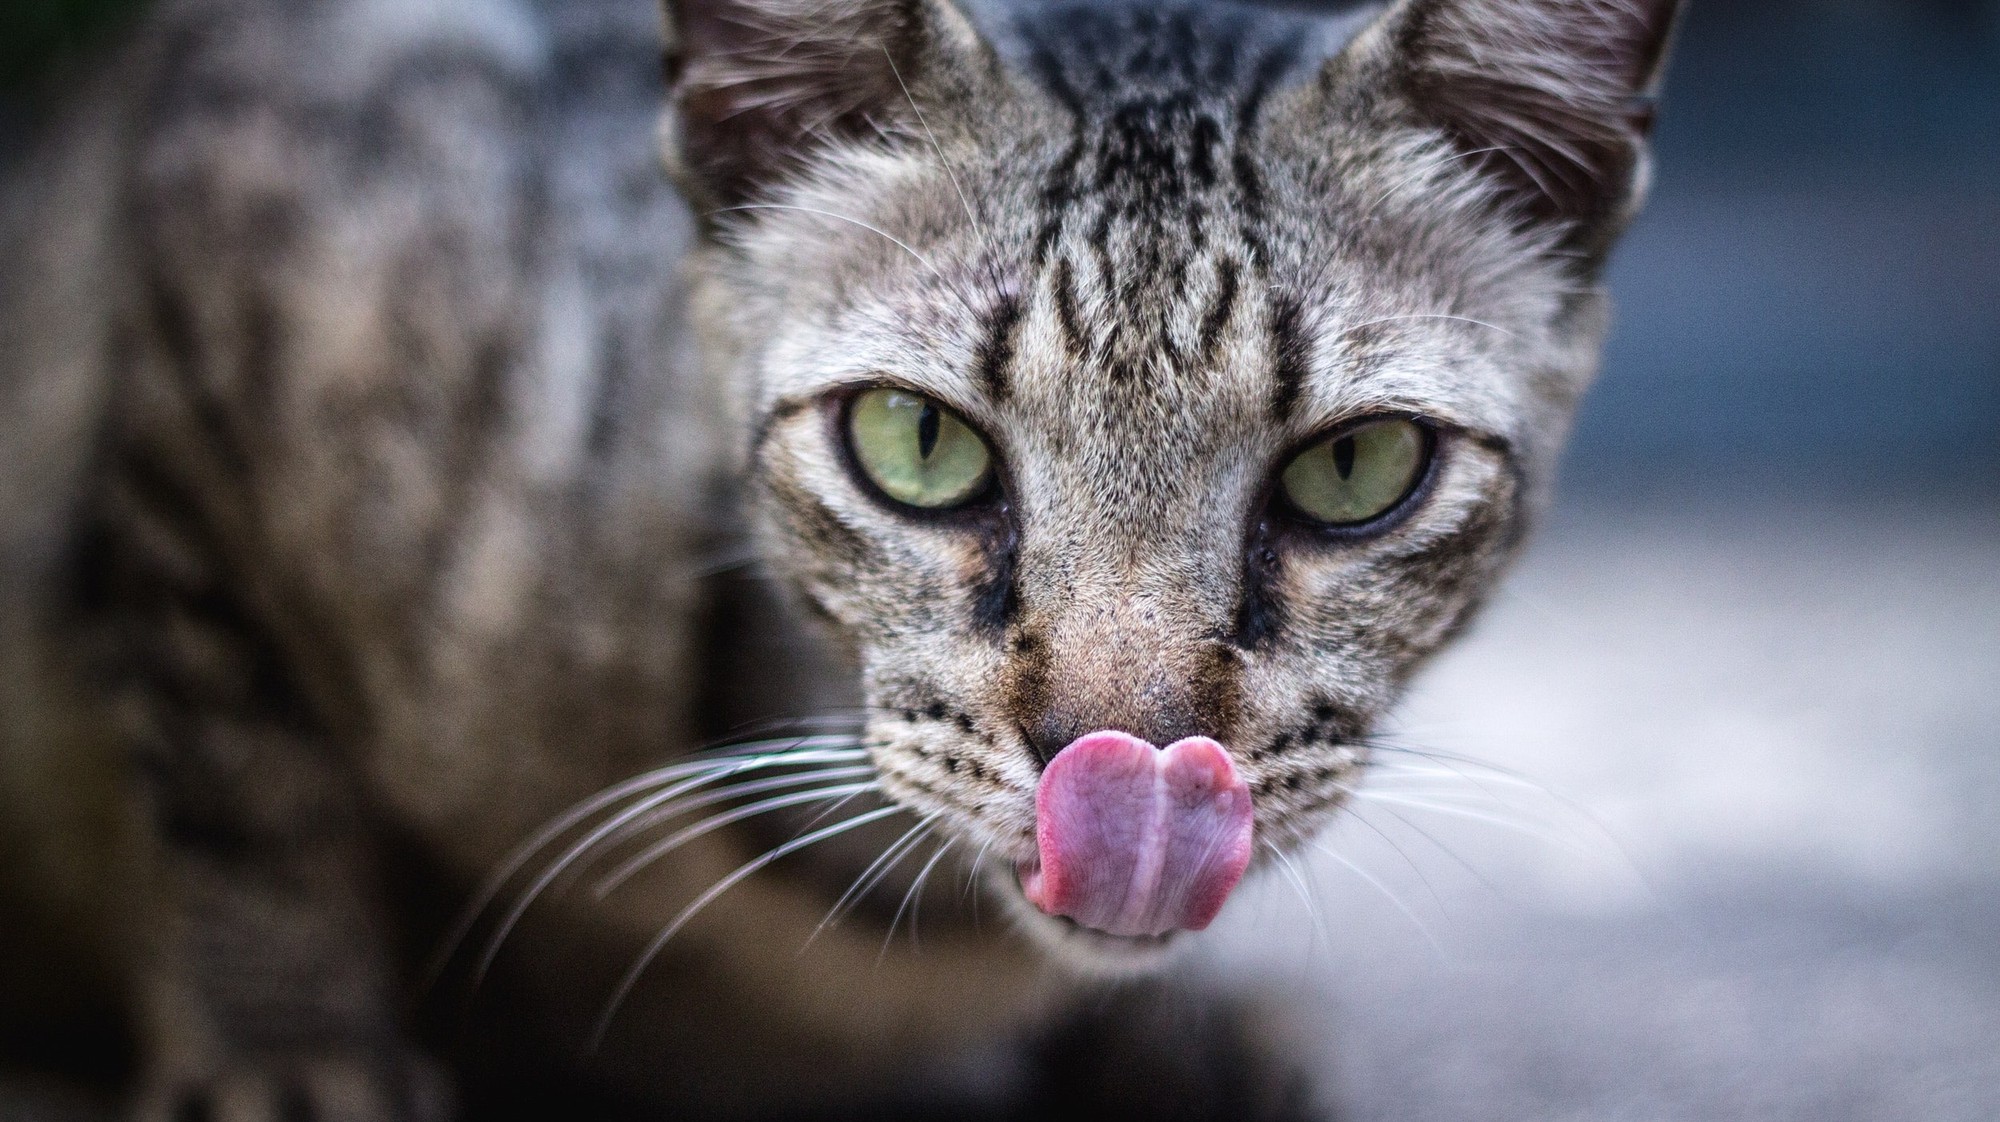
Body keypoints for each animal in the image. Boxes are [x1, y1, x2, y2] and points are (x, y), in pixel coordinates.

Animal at [0, 0, 1688, 1112]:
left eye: (1355, 469)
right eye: (916, 442)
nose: (1131, 758)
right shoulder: (229, 249)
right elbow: (239, 784)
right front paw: (290, 1050)